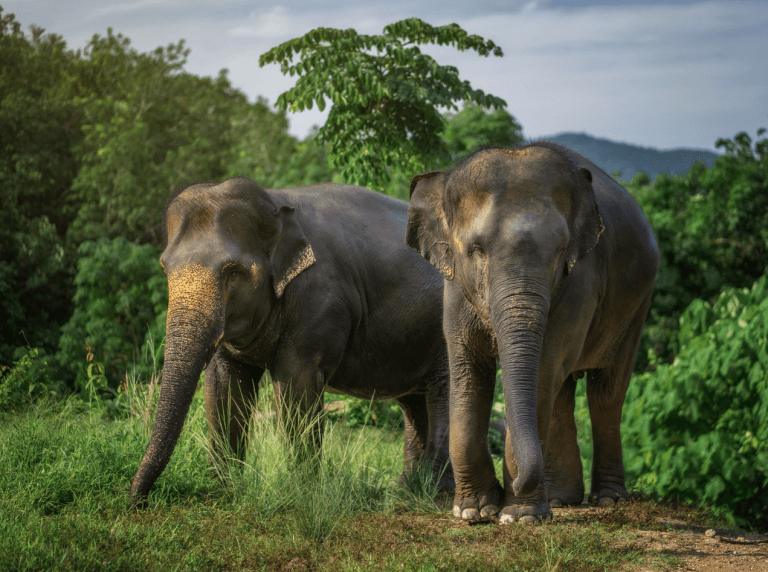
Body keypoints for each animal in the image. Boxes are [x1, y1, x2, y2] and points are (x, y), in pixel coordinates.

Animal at [130, 177, 454, 503]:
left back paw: (436, 493)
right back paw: (406, 490)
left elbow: (296, 385)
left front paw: (302, 493)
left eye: (233, 273)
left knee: (444, 392)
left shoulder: (319, 300)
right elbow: (224, 384)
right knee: (414, 403)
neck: (273, 202)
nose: (137, 500)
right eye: (165, 268)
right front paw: (223, 490)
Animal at [405, 141, 659, 523]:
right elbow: (468, 369)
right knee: (564, 390)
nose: (510, 483)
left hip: (638, 304)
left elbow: (543, 370)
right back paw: (559, 498)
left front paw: (519, 516)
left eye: (560, 251)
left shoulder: (580, 280)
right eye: (477, 250)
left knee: (605, 392)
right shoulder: (454, 288)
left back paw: (607, 499)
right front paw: (473, 512)